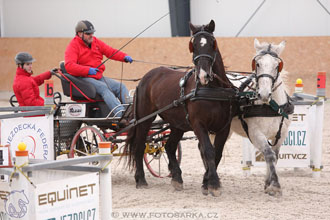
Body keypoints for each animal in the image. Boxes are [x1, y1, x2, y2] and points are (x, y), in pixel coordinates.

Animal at [124, 20, 235, 196]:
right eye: (193, 45)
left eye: (212, 43)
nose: (203, 75)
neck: (212, 89)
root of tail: (146, 77)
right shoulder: (198, 125)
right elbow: (208, 151)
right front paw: (214, 184)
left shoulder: (224, 127)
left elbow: (217, 153)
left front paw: (206, 183)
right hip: (144, 119)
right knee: (139, 146)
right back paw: (140, 179)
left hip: (178, 124)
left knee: (169, 146)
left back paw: (176, 178)